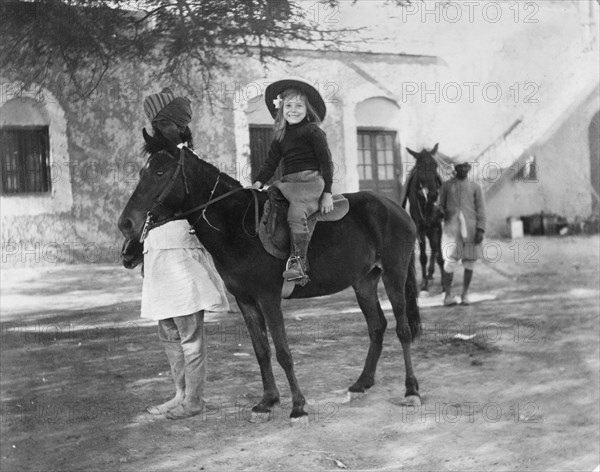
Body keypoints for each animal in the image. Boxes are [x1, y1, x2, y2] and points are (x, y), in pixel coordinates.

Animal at [117, 131, 422, 422]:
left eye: (160, 172)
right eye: (142, 172)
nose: (125, 223)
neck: (238, 225)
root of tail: (395, 208)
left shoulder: (268, 298)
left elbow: (283, 352)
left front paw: (298, 407)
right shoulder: (246, 301)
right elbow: (261, 350)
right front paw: (267, 402)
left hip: (394, 275)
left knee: (403, 329)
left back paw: (411, 390)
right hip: (364, 282)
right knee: (377, 326)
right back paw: (362, 383)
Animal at [400, 144, 442, 292]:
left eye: (435, 164)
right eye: (419, 167)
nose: (434, 194)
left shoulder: (437, 225)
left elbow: (439, 254)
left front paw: (445, 284)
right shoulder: (420, 228)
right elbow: (423, 256)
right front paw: (424, 283)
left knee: (435, 248)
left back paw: (431, 272)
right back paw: (428, 275)